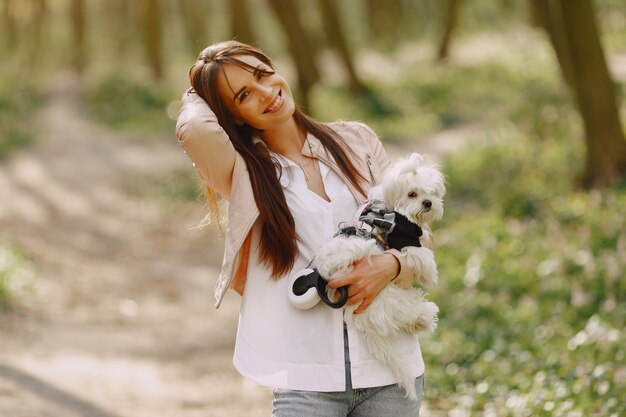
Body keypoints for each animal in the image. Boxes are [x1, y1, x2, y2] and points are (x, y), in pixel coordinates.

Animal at [314, 151, 442, 398]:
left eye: (431, 192)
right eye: (412, 194)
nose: (428, 202)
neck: (390, 210)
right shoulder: (405, 240)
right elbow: (423, 256)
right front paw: (430, 275)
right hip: (393, 297)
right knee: (411, 310)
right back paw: (426, 316)